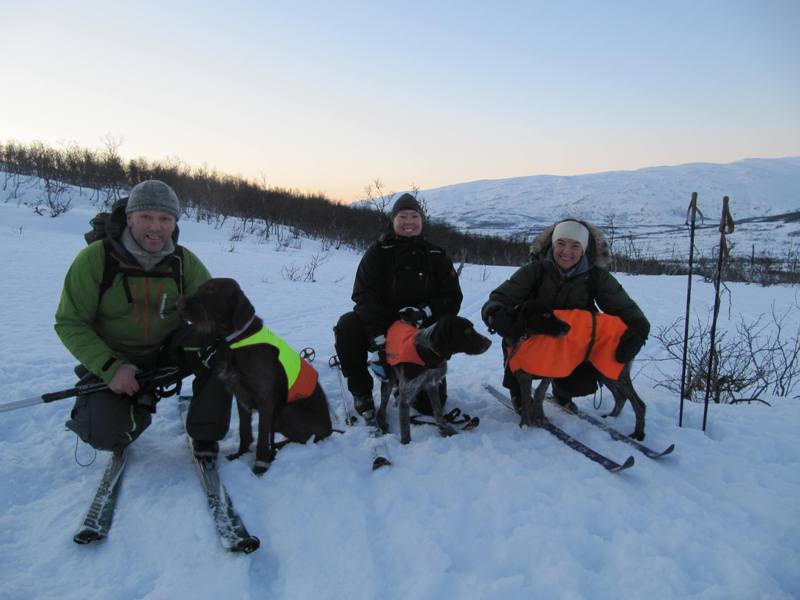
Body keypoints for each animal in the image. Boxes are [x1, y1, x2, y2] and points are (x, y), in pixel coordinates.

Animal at [178, 278, 332, 474]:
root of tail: (330, 428)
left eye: (211, 290)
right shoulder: (241, 396)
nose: (180, 304)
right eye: (199, 288)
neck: (236, 342)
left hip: (286, 411)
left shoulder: (266, 401)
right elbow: (245, 431)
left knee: (301, 440)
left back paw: (277, 450)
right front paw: (240, 454)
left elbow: (261, 439)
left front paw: (260, 466)